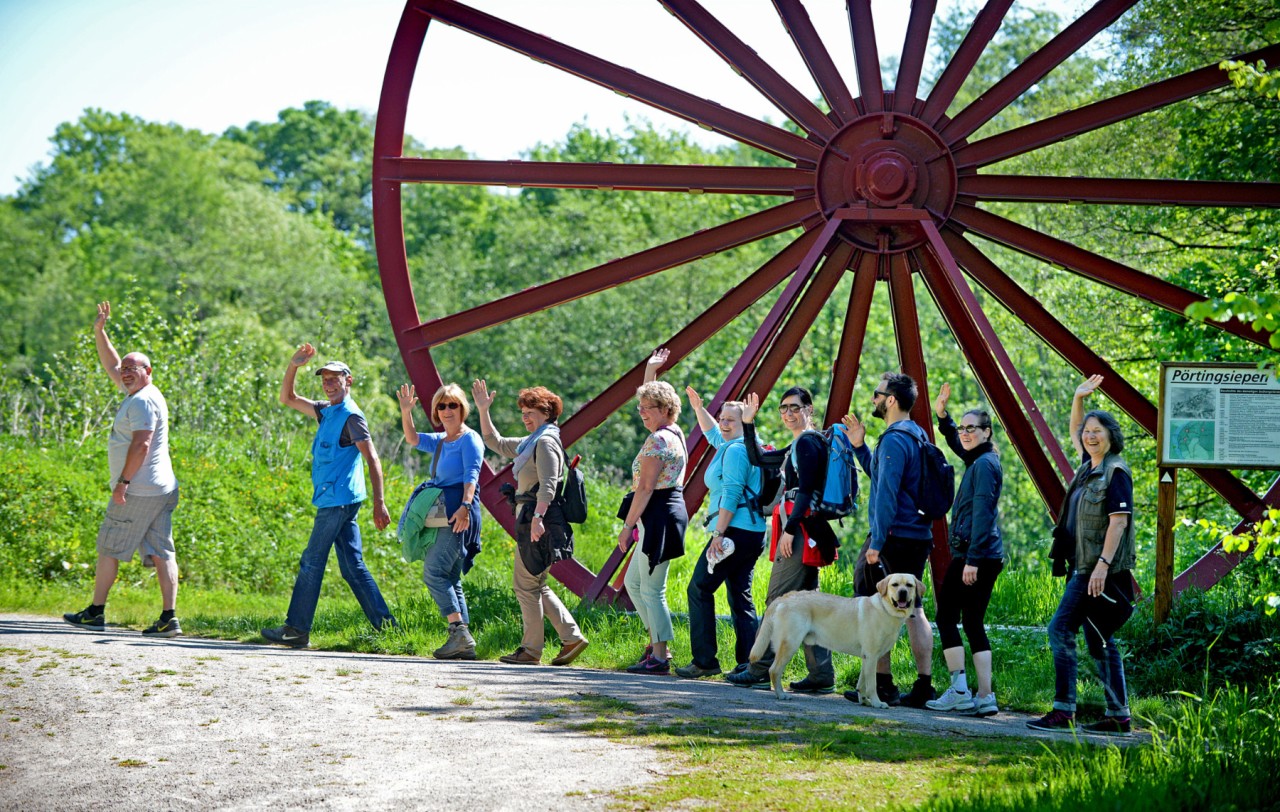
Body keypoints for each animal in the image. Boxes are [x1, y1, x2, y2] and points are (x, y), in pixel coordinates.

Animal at [747, 576, 921, 701]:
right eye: (895, 585)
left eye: (909, 585)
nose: (903, 593)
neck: (886, 610)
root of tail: (784, 597)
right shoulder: (871, 656)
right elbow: (871, 684)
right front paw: (877, 703)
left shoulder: (868, 657)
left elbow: (862, 683)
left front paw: (864, 701)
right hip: (790, 644)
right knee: (774, 670)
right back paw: (781, 695)